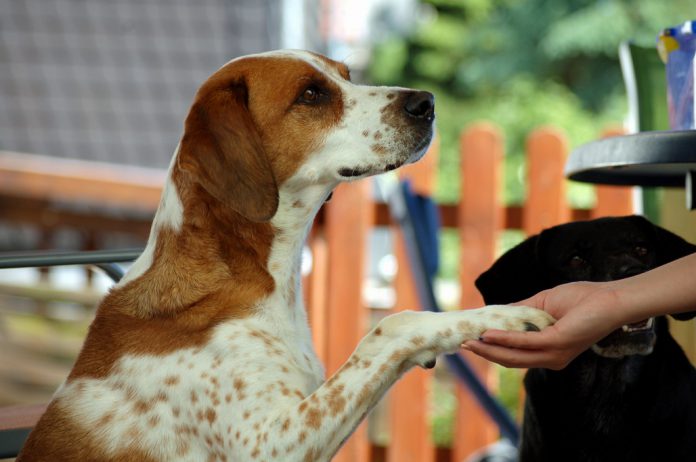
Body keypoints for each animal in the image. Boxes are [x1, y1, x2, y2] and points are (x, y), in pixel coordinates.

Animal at [17, 50, 556, 462]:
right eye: (311, 94)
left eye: (347, 74)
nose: (427, 102)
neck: (254, 277)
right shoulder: (269, 443)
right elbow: (392, 325)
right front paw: (502, 316)